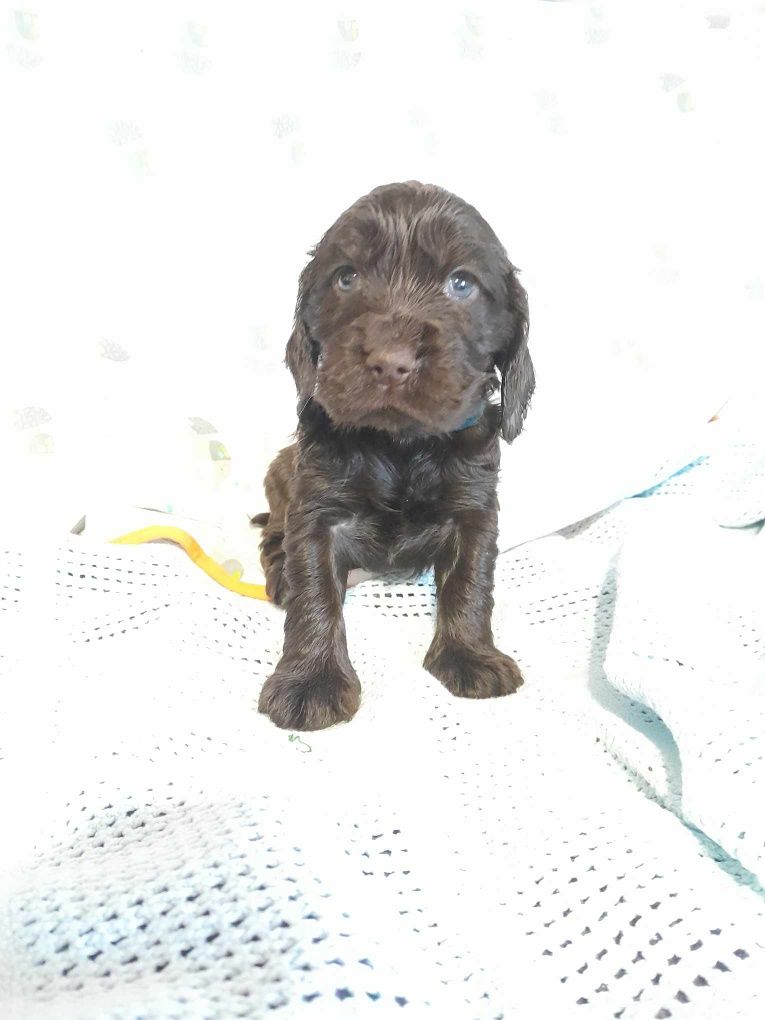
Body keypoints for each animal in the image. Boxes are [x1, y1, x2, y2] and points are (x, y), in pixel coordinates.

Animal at [255, 179, 534, 730]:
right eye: (346, 277)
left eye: (462, 284)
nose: (391, 362)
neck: (400, 446)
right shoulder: (317, 508)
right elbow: (313, 589)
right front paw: (311, 680)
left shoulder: (475, 508)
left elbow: (471, 580)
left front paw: (471, 655)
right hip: (280, 473)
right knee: (275, 529)